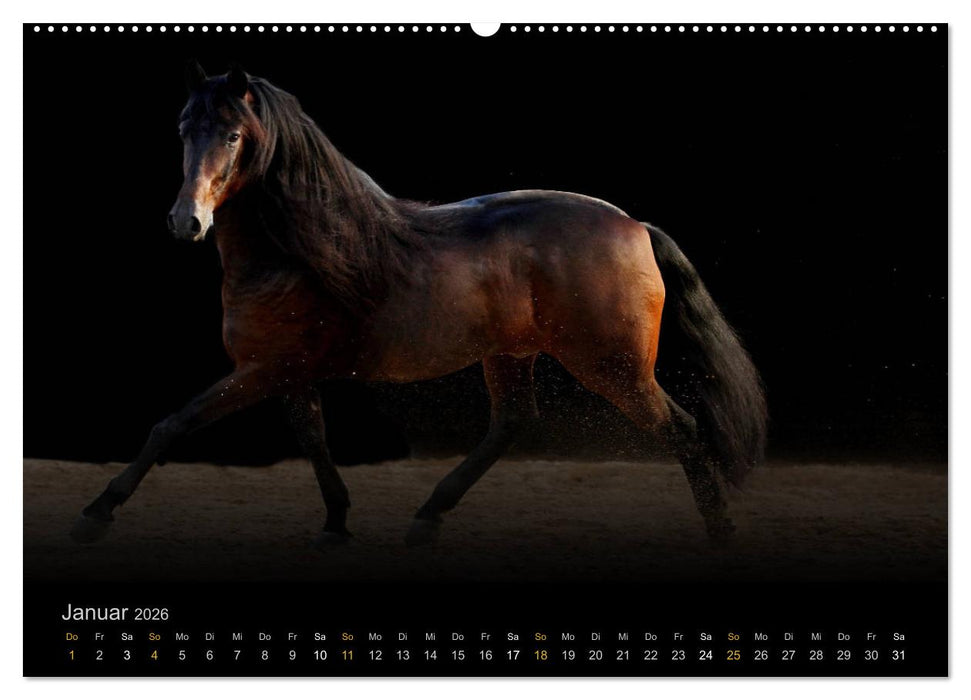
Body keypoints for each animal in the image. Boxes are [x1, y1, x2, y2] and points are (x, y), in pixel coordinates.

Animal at [70, 62, 767, 549]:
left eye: (236, 135)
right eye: (184, 130)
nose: (185, 222)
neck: (300, 253)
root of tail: (634, 225)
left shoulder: (261, 371)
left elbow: (173, 424)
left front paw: (95, 514)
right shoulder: (289, 374)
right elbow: (313, 439)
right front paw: (336, 523)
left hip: (612, 366)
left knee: (681, 429)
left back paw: (722, 535)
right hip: (512, 355)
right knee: (511, 423)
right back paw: (428, 518)